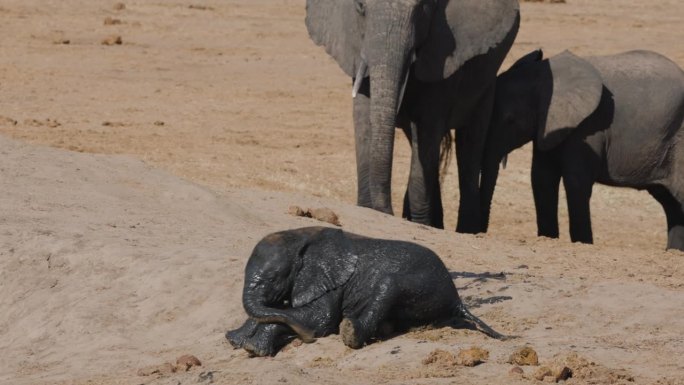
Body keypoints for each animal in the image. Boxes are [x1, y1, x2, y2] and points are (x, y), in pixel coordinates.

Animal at [227, 226, 504, 356]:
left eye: (274, 279)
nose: (305, 338)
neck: (301, 235)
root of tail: (457, 299)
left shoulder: (332, 282)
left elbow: (319, 319)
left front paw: (252, 348)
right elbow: (275, 311)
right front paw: (236, 339)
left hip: (425, 285)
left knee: (387, 285)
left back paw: (349, 333)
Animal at [304, 0, 520, 231]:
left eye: (423, 8)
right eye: (360, 7)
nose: (386, 211)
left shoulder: (442, 57)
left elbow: (428, 129)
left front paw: (417, 222)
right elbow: (363, 119)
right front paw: (366, 208)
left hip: (486, 85)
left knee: (470, 144)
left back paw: (465, 230)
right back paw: (436, 224)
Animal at [480, 48, 684, 249]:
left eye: (510, 120)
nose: (481, 232)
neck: (544, 76)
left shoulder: (588, 127)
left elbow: (575, 181)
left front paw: (582, 243)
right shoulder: (548, 128)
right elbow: (542, 178)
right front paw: (548, 238)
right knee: (670, 203)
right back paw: (673, 251)